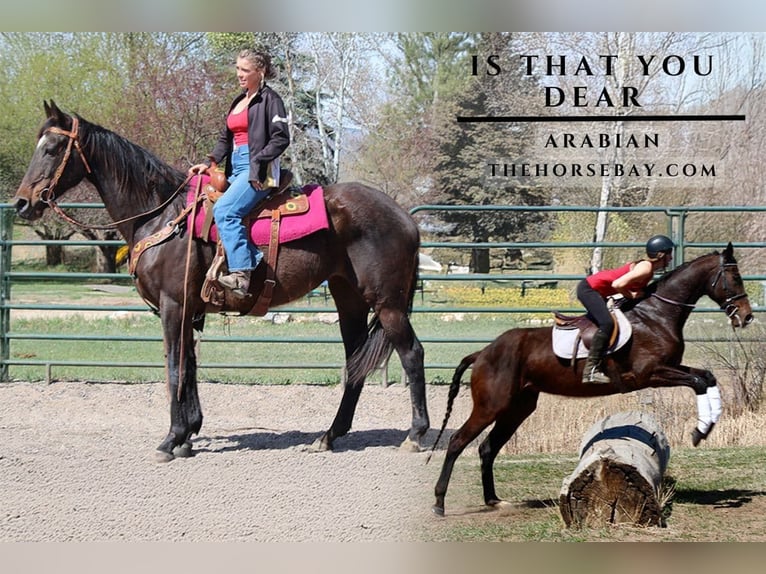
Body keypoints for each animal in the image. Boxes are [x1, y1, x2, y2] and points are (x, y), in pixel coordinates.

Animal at [13, 100, 429, 462]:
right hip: (349, 300)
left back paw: (415, 434)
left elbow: (175, 367)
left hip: (387, 303)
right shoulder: (189, 310)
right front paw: (188, 434)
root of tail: (406, 218)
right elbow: (191, 365)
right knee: (355, 362)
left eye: (52, 147)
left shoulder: (174, 306)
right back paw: (329, 436)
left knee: (411, 354)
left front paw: (171, 439)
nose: (21, 203)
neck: (162, 215)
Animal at [429, 243, 754, 516]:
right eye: (735, 277)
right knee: (457, 442)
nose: (747, 317)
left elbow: (707, 377)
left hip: (517, 408)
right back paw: (439, 503)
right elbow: (699, 382)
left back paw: (493, 500)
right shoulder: (650, 374)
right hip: (491, 406)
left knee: (488, 447)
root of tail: (482, 352)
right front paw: (700, 432)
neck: (657, 314)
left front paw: (706, 427)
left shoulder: (670, 368)